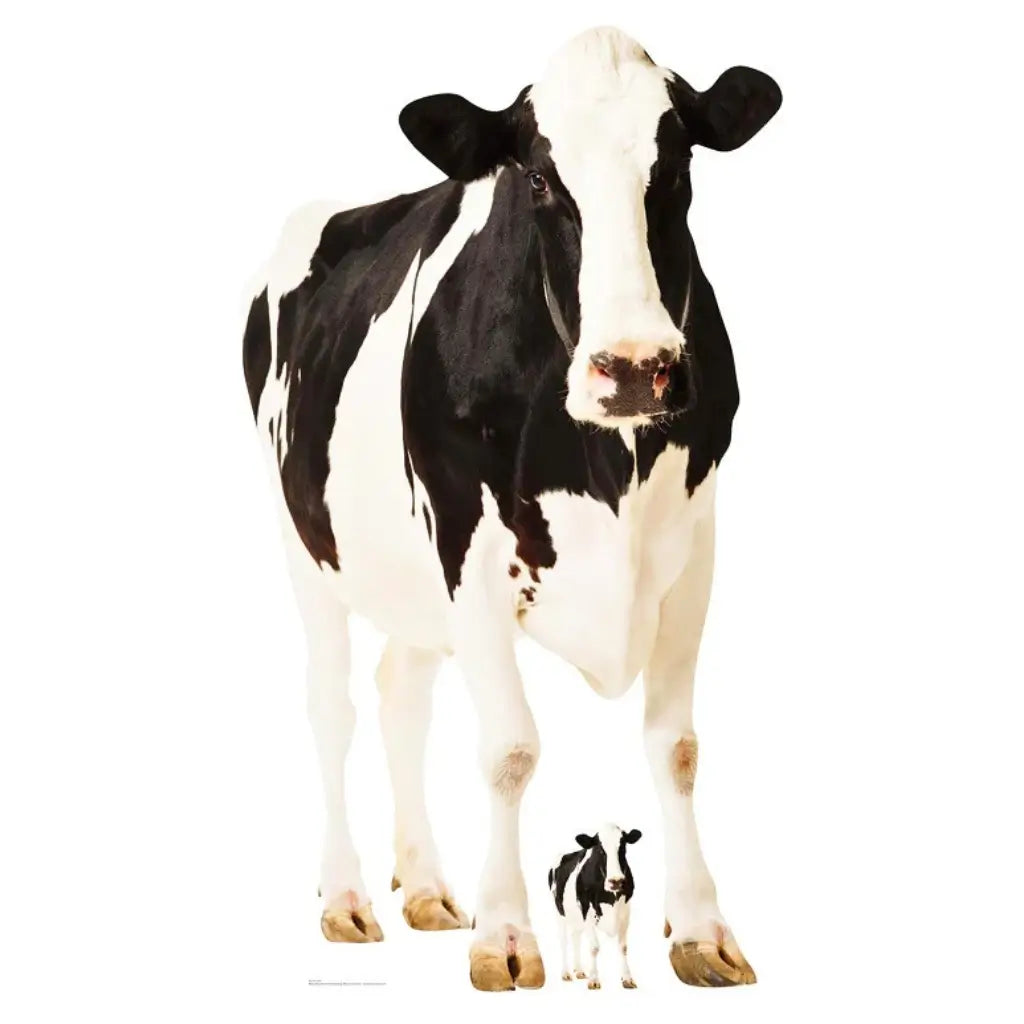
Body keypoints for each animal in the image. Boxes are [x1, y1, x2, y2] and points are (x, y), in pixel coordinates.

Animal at [549, 825, 642, 989]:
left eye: (623, 847)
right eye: (600, 850)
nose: (616, 881)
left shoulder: (625, 913)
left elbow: (623, 947)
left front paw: (627, 978)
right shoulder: (587, 913)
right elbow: (594, 947)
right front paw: (594, 979)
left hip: (577, 917)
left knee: (575, 938)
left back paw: (579, 970)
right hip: (559, 912)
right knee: (563, 941)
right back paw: (565, 973)